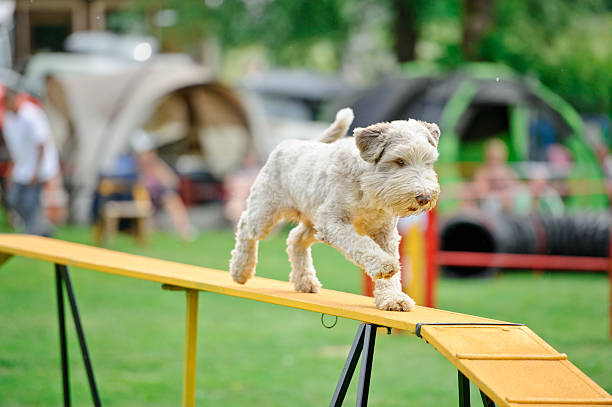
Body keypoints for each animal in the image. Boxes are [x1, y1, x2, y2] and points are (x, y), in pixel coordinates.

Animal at [230, 107, 440, 310]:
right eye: (399, 161)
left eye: (428, 162)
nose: (424, 198)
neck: (366, 186)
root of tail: (290, 144)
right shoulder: (334, 222)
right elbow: (361, 244)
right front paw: (385, 265)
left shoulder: (384, 232)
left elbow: (390, 267)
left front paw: (393, 298)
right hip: (266, 212)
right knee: (245, 225)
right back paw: (241, 270)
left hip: (314, 224)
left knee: (295, 239)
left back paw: (305, 281)